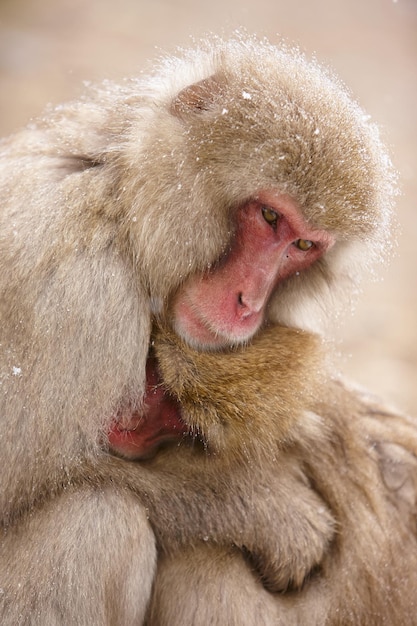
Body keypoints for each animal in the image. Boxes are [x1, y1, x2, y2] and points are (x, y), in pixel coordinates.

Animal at [0, 34, 416, 624]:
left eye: (303, 246)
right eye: (269, 217)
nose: (249, 301)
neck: (122, 201)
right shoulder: (79, 300)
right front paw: (270, 512)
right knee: (99, 519)